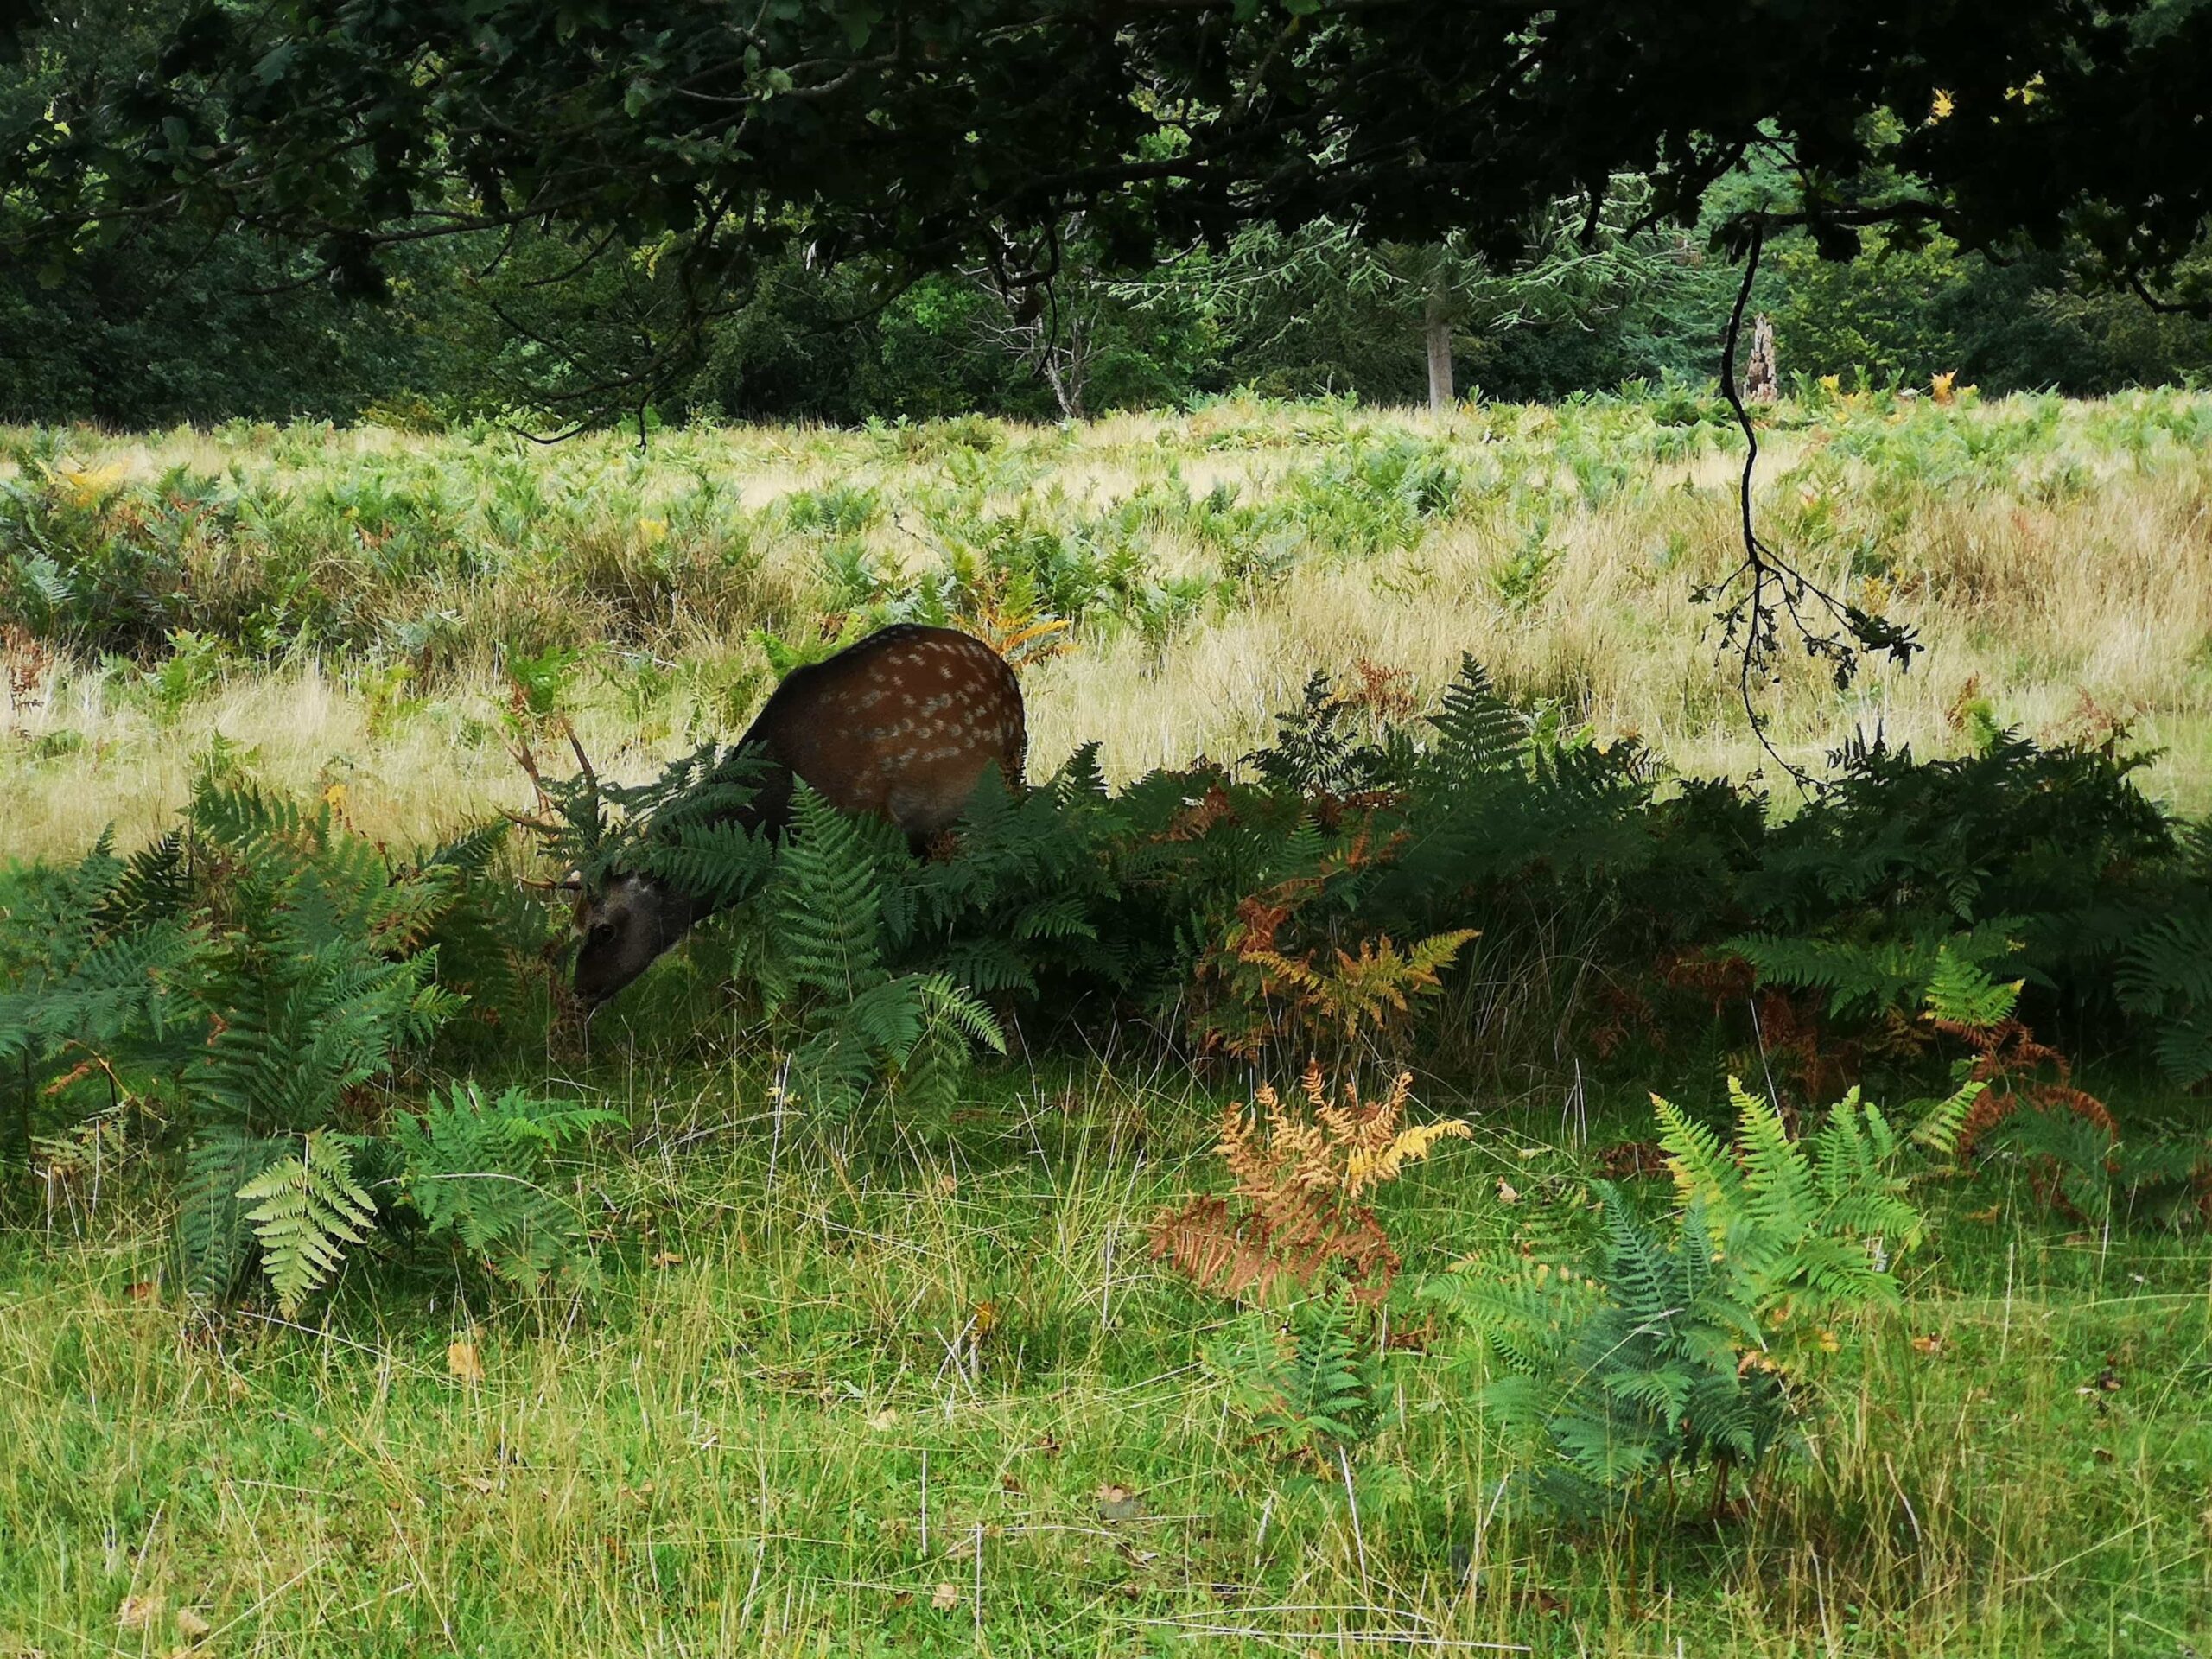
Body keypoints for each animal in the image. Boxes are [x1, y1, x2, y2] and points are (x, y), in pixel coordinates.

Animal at [566, 628, 1021, 1008]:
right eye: (575, 922)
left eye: (603, 929)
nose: (580, 990)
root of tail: (1006, 672)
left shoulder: (873, 819)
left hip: (1002, 777)